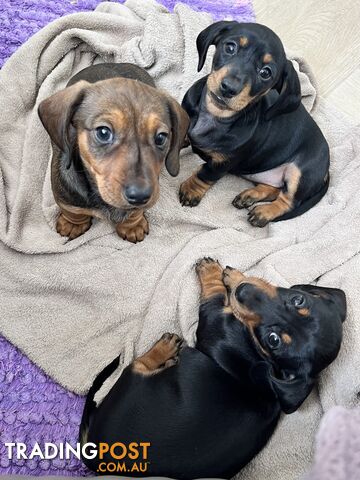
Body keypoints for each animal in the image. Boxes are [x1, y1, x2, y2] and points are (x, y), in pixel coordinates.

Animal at [38, 62, 190, 244]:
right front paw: (73, 224)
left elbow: (134, 212)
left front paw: (132, 226)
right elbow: (72, 210)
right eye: (103, 132)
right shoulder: (65, 195)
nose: (140, 196)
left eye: (161, 137)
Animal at [79, 258, 346, 480]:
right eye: (298, 300)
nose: (242, 290)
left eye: (274, 340)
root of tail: (94, 457)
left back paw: (164, 349)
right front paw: (234, 276)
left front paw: (212, 273)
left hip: (132, 384)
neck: (258, 354)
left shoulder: (214, 320)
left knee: (137, 365)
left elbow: (215, 298)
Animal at [179, 20, 330, 227]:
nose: (228, 88)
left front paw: (191, 190)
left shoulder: (222, 163)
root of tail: (327, 167)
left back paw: (264, 212)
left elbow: (204, 174)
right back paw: (250, 196)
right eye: (230, 47)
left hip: (301, 172)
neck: (216, 115)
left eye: (265, 73)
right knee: (274, 188)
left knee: (288, 201)